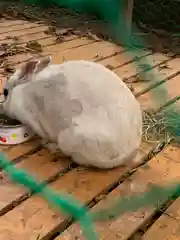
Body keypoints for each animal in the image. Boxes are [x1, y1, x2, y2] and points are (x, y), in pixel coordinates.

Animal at [1, 56, 142, 169]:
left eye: (5, 92)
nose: (2, 107)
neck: (22, 92)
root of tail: (126, 153)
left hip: (67, 138)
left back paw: (50, 146)